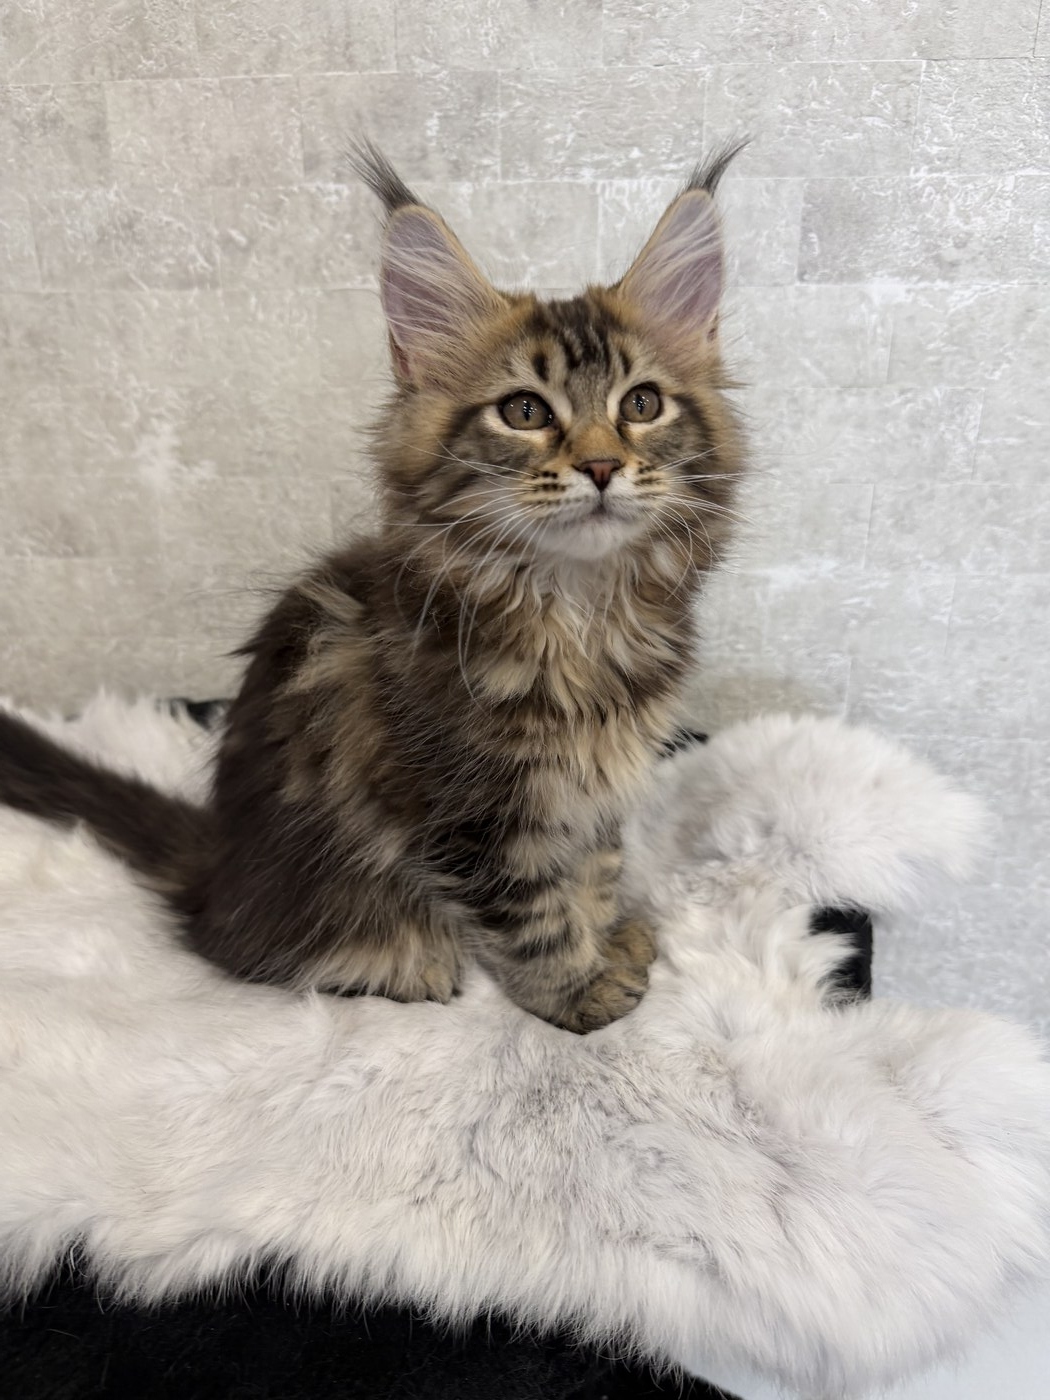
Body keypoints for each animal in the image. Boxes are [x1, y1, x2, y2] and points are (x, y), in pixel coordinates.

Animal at [0, 142, 746, 1032]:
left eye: (641, 403)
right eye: (526, 412)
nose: (601, 466)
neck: (576, 608)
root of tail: (216, 871)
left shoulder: (593, 794)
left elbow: (590, 872)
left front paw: (609, 940)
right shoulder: (468, 817)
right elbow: (535, 915)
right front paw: (580, 993)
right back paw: (412, 966)